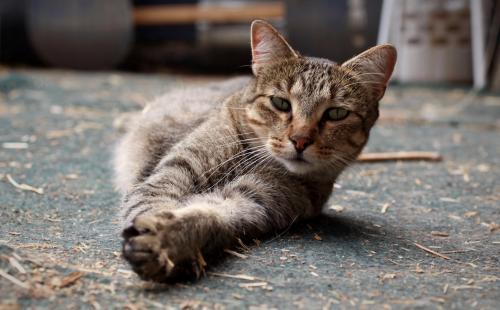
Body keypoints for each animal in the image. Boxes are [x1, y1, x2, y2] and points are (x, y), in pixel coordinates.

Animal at [112, 19, 394, 280]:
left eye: (336, 113)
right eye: (280, 103)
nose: (300, 140)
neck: (256, 159)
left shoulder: (255, 201)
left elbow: (211, 215)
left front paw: (169, 241)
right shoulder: (174, 170)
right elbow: (153, 203)